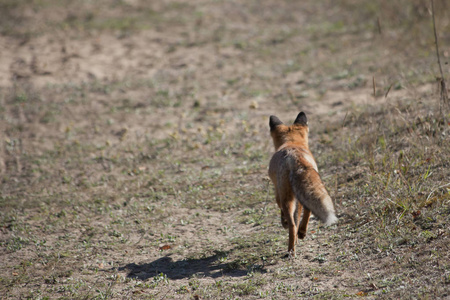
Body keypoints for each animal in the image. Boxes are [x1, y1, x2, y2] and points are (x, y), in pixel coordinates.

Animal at [268, 111, 338, 256]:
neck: (292, 142)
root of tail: (295, 157)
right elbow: (300, 213)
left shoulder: (278, 192)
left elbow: (284, 213)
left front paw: (284, 222)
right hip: (303, 191)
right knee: (307, 210)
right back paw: (301, 233)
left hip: (286, 197)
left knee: (292, 224)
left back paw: (291, 250)